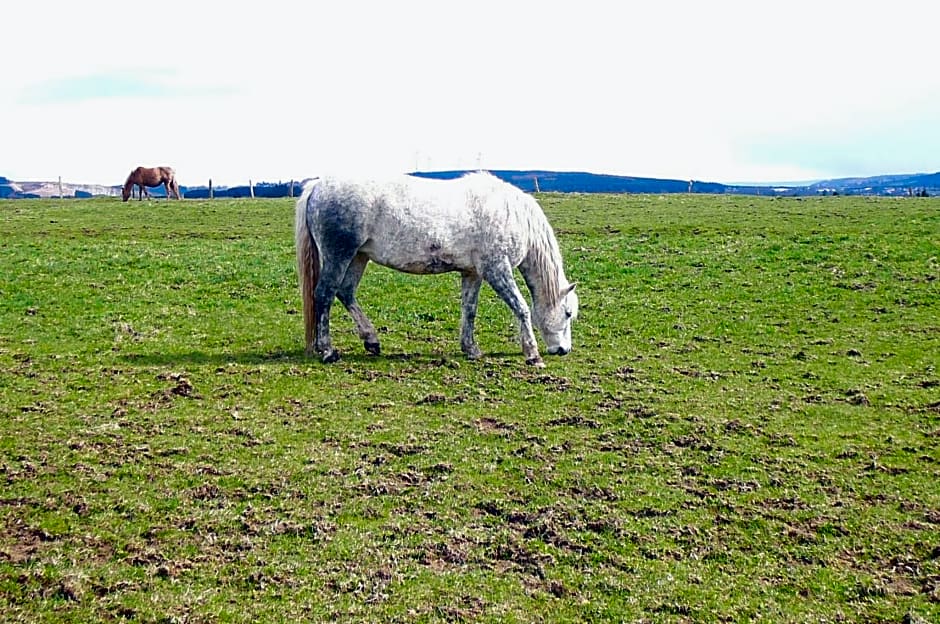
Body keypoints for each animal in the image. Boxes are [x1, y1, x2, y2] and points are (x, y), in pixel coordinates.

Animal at [294, 171, 576, 366]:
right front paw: (532, 354)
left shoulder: (473, 273)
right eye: (568, 313)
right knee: (324, 295)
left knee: (345, 293)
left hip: (357, 257)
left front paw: (470, 349)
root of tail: (317, 185)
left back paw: (371, 340)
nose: (564, 350)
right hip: (339, 255)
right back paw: (328, 351)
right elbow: (521, 307)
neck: (512, 214)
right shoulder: (496, 269)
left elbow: (469, 310)